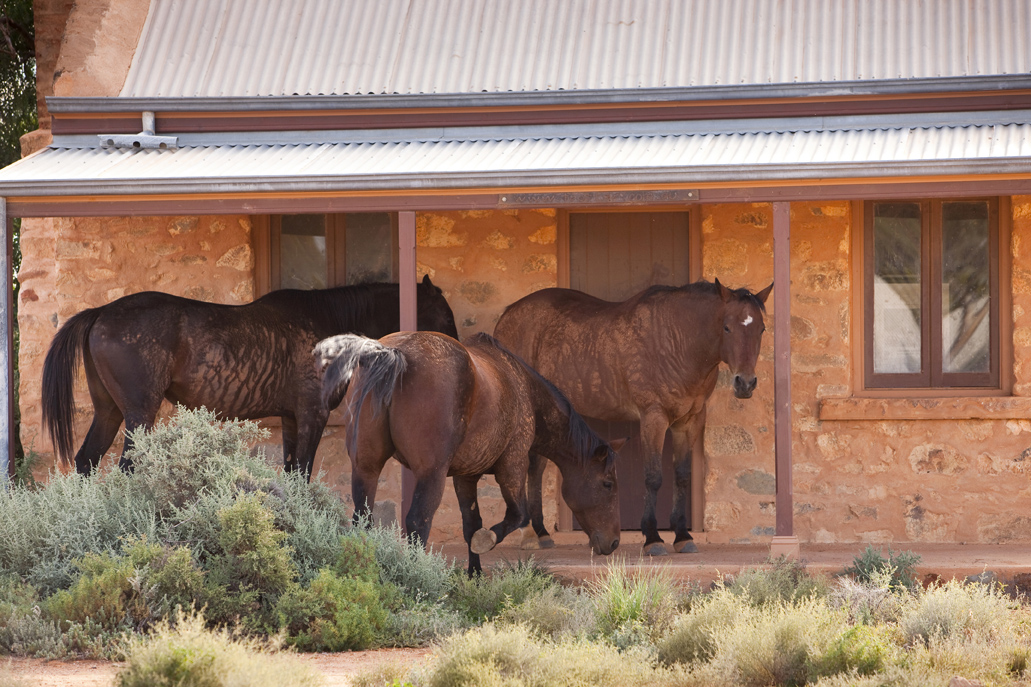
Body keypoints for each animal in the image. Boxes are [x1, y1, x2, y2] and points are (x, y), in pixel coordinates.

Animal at [43, 272, 455, 476]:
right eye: (443, 313)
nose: (457, 346)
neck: (328, 326)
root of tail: (100, 312)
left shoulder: (291, 418)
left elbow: (292, 472)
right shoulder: (313, 414)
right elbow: (303, 472)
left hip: (109, 410)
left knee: (87, 461)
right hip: (139, 412)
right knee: (127, 466)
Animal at [313, 330, 618, 573]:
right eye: (608, 484)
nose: (613, 542)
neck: (523, 389)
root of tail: (394, 353)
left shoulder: (465, 477)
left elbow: (472, 525)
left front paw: (475, 575)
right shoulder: (513, 465)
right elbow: (517, 514)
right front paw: (487, 542)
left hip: (366, 468)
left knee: (363, 520)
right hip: (431, 475)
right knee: (418, 521)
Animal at [492, 278, 775, 557]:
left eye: (761, 329)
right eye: (727, 328)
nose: (745, 383)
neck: (678, 343)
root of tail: (507, 314)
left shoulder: (690, 421)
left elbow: (682, 476)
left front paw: (682, 536)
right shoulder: (654, 417)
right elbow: (653, 477)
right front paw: (652, 538)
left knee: (536, 467)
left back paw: (541, 532)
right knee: (530, 466)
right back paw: (530, 533)